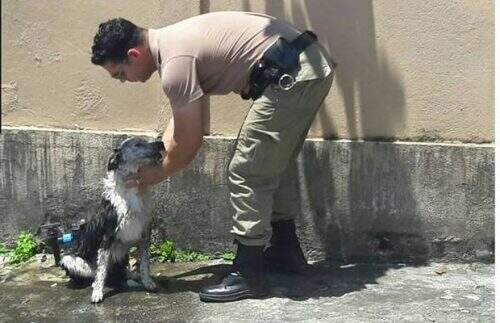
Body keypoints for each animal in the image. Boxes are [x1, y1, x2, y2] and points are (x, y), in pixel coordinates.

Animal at [60, 137, 165, 304]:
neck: (131, 191)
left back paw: (130, 276)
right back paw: (96, 283)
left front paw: (148, 282)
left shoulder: (144, 234)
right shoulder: (107, 237)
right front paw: (97, 293)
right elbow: (102, 270)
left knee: (120, 273)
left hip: (122, 255)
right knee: (97, 275)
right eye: (138, 144)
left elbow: (144, 263)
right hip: (69, 259)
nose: (161, 143)